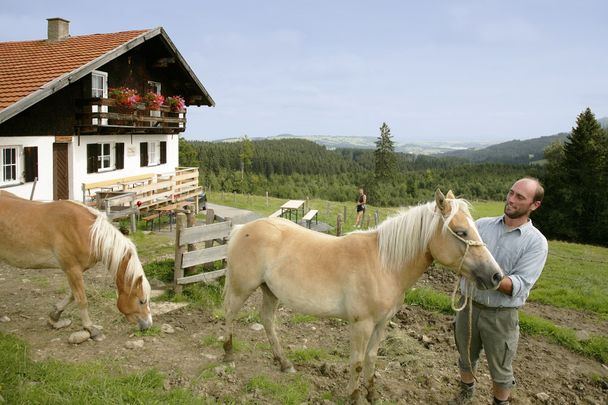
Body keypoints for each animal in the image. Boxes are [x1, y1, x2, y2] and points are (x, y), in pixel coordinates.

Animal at [0, 191, 152, 336]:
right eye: (141, 301)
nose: (148, 325)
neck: (87, 233)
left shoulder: (75, 271)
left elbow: (73, 295)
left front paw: (54, 316)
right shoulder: (72, 270)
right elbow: (82, 299)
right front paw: (90, 328)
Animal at [223, 189, 504, 400]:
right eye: (461, 231)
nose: (496, 276)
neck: (383, 263)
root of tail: (242, 229)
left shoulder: (381, 323)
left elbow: (371, 359)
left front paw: (371, 394)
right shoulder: (362, 324)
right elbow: (357, 362)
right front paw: (354, 395)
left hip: (270, 291)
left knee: (267, 320)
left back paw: (284, 363)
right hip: (241, 288)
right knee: (230, 314)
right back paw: (228, 354)